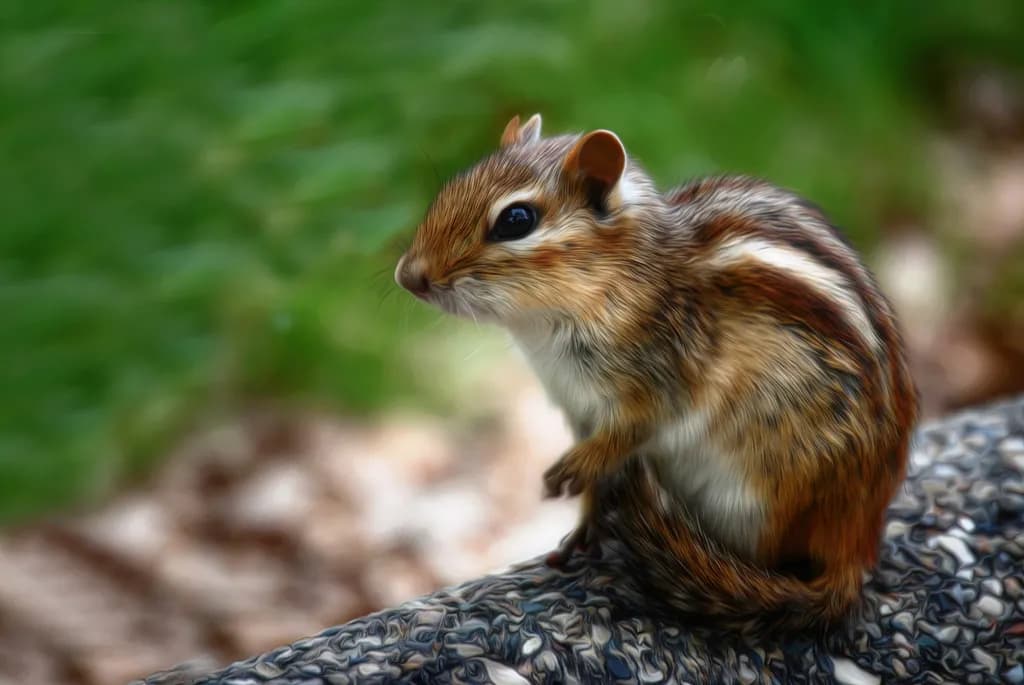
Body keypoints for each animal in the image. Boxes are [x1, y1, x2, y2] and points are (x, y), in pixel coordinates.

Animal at [395, 113, 918, 633]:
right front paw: (584, 521)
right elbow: (602, 466)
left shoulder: (666, 375)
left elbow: (635, 430)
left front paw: (573, 470)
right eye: (453, 186)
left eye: (516, 220)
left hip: (761, 491)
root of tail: (856, 540)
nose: (408, 276)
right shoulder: (579, 408)